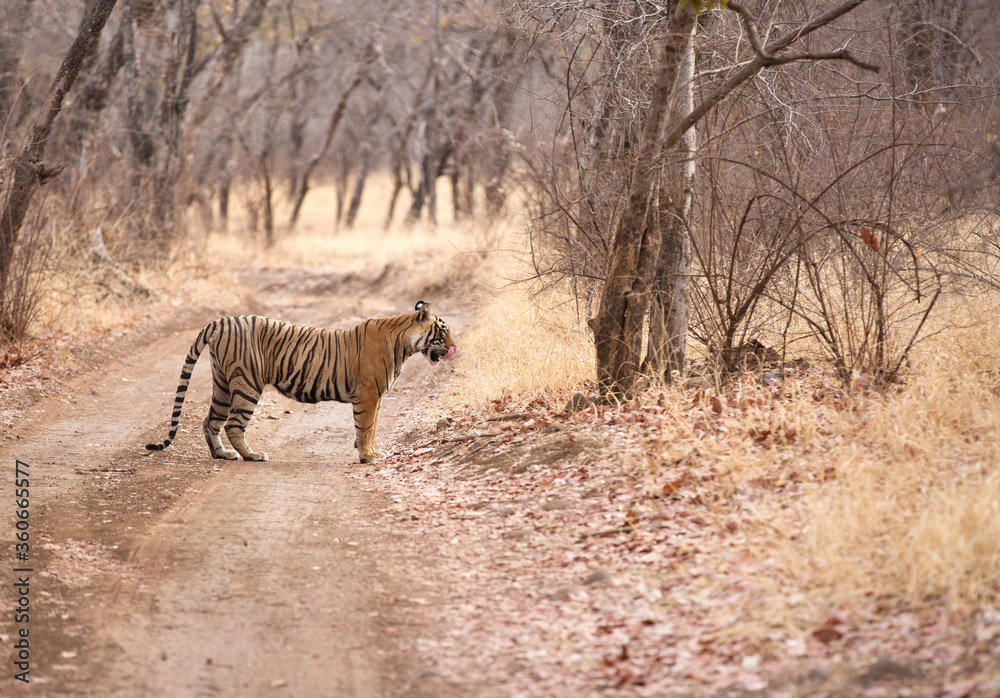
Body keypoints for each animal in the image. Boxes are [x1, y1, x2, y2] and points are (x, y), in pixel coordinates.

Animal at [145, 301, 456, 463]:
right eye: (443, 332)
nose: (454, 347)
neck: (404, 344)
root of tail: (220, 321)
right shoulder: (369, 396)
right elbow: (367, 427)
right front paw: (368, 455)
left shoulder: (375, 399)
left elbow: (370, 428)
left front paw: (367, 451)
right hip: (247, 383)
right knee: (234, 424)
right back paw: (252, 455)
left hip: (221, 382)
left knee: (210, 421)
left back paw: (222, 454)